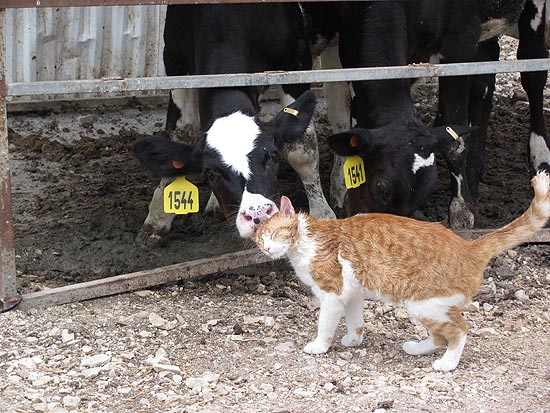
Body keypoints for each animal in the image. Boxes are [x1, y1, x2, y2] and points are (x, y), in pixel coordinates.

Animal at [136, 3, 338, 245]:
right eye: (210, 173)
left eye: (273, 156)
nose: (259, 215)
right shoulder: (174, 61)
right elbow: (181, 133)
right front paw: (158, 216)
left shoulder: (296, 57)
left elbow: (301, 150)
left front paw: (322, 214)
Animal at [256, 171, 548, 370]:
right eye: (259, 239)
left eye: (273, 234)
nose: (266, 249)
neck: (304, 241)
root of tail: (469, 246)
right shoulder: (352, 294)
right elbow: (355, 322)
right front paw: (353, 340)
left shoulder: (331, 295)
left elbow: (325, 325)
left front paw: (319, 346)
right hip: (429, 306)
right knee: (440, 336)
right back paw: (416, 348)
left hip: (423, 304)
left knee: (459, 330)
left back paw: (447, 364)